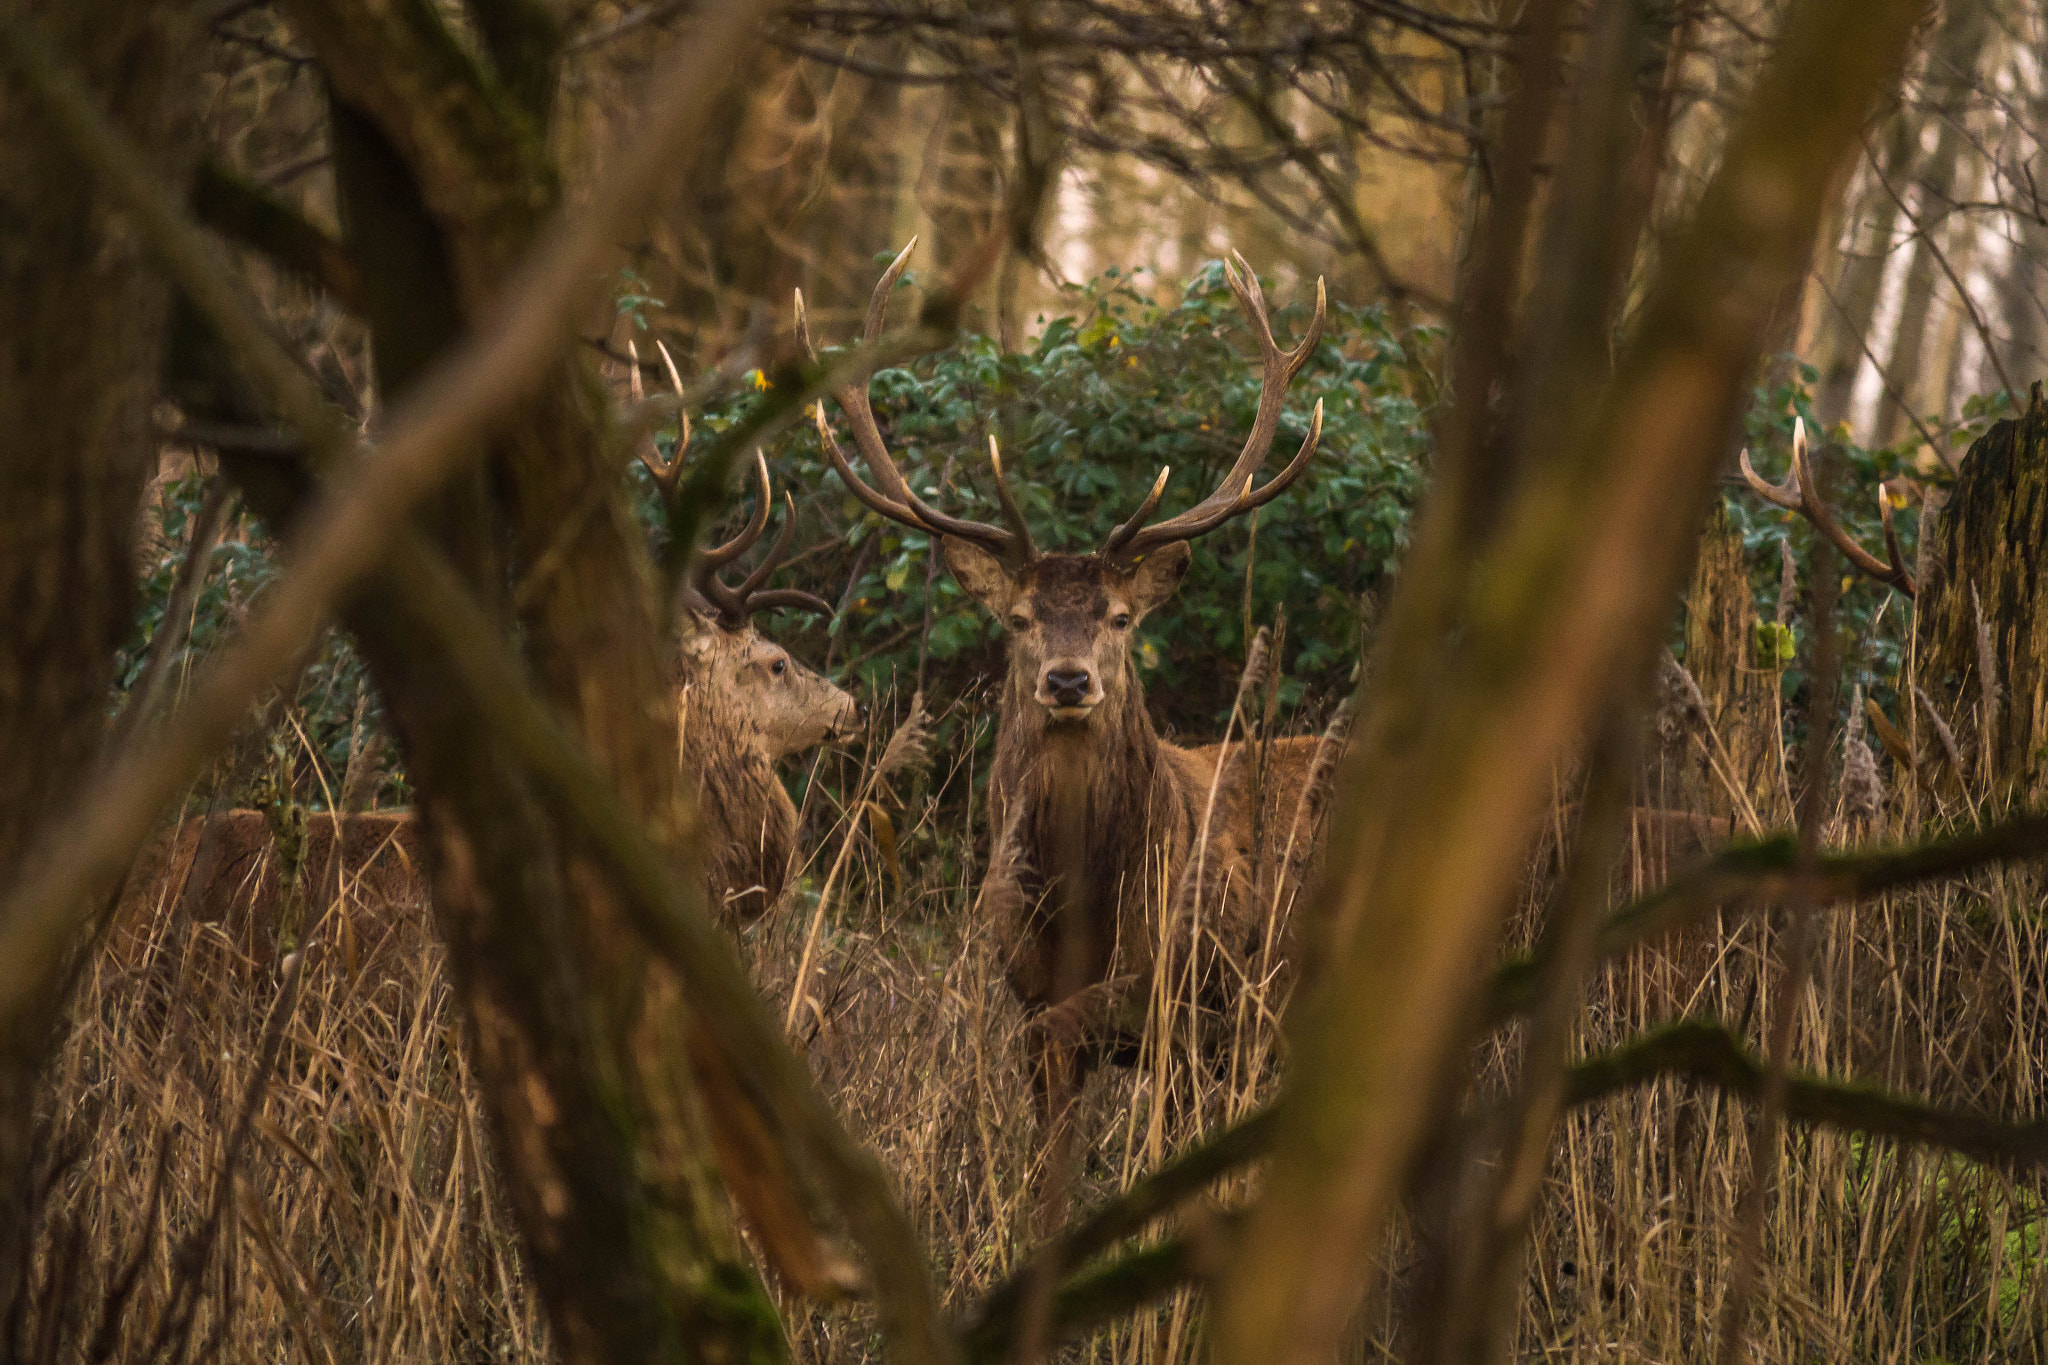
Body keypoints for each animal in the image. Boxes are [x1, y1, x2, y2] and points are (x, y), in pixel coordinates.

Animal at [801, 244, 1339, 1112]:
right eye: (1019, 618)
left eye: (1119, 617)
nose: (1066, 681)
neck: (1088, 912)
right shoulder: (1028, 998)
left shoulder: (1192, 1003)